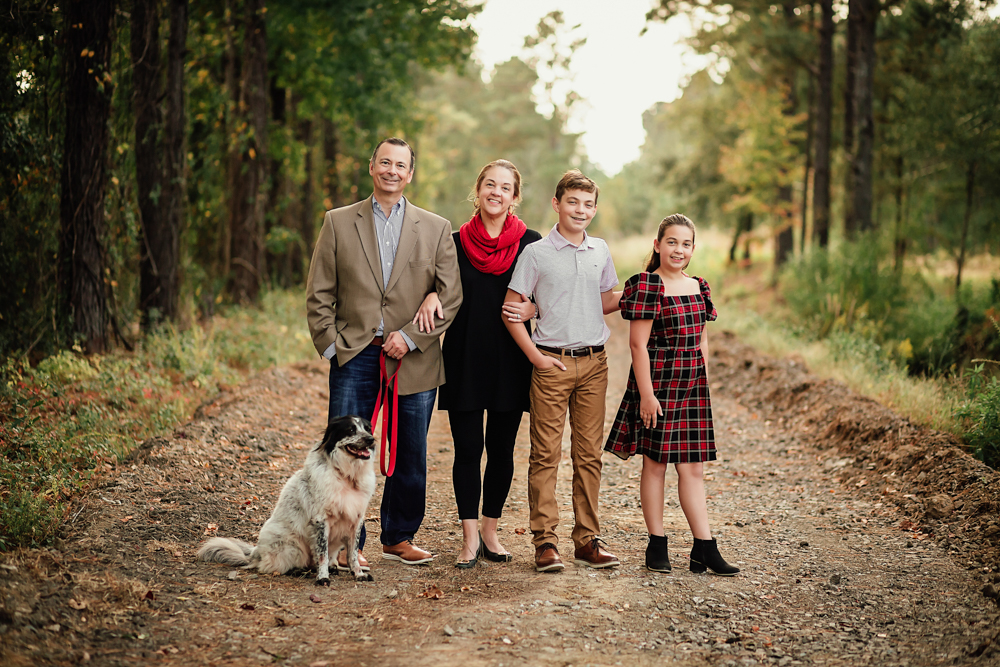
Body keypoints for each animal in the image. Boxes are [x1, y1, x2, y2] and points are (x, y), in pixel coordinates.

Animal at [197, 418, 376, 584]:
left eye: (368, 428)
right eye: (351, 429)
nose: (371, 439)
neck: (347, 476)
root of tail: (256, 553)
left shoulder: (356, 520)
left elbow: (353, 554)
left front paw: (358, 574)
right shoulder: (320, 521)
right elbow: (322, 554)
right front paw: (323, 578)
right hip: (292, 547)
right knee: (272, 566)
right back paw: (298, 570)